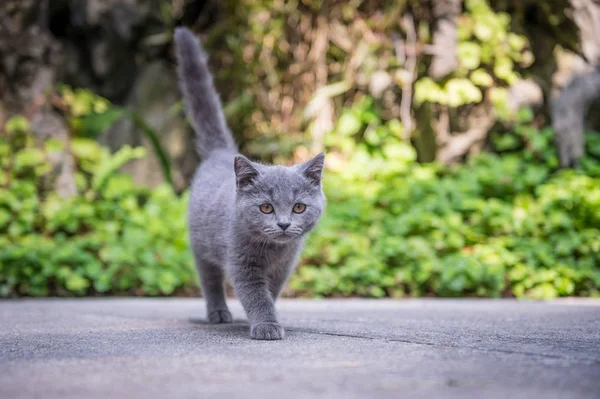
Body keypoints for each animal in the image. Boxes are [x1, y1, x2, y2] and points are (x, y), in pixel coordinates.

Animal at [171, 27, 326, 340]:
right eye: (266, 208)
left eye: (299, 207)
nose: (283, 224)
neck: (273, 251)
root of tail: (221, 152)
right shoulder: (242, 262)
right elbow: (255, 294)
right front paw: (266, 326)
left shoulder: (283, 268)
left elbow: (270, 293)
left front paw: (263, 318)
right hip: (200, 244)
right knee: (210, 280)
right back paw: (218, 314)